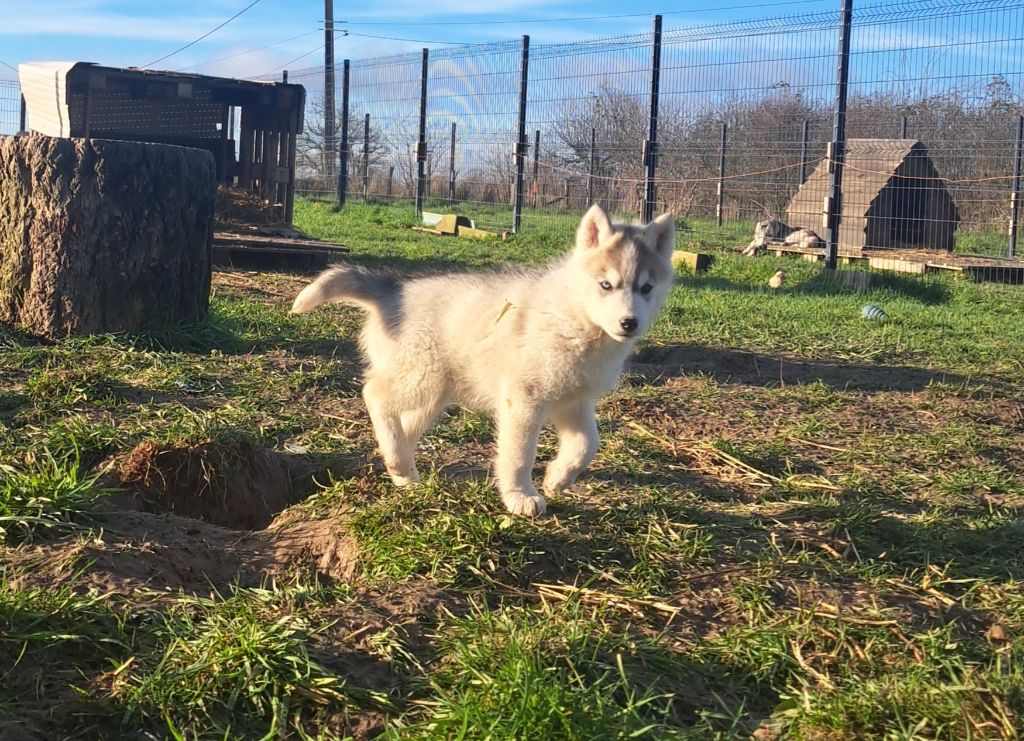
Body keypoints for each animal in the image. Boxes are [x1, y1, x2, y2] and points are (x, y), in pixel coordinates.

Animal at [290, 205, 675, 516]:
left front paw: (557, 479)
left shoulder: (574, 401)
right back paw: (398, 460)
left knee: (403, 425)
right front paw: (520, 496)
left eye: (645, 288)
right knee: (374, 394)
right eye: (606, 285)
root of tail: (393, 291)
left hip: (434, 393)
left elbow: (588, 444)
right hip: (421, 378)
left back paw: (402, 470)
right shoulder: (524, 399)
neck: (575, 319)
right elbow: (519, 454)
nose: (629, 323)